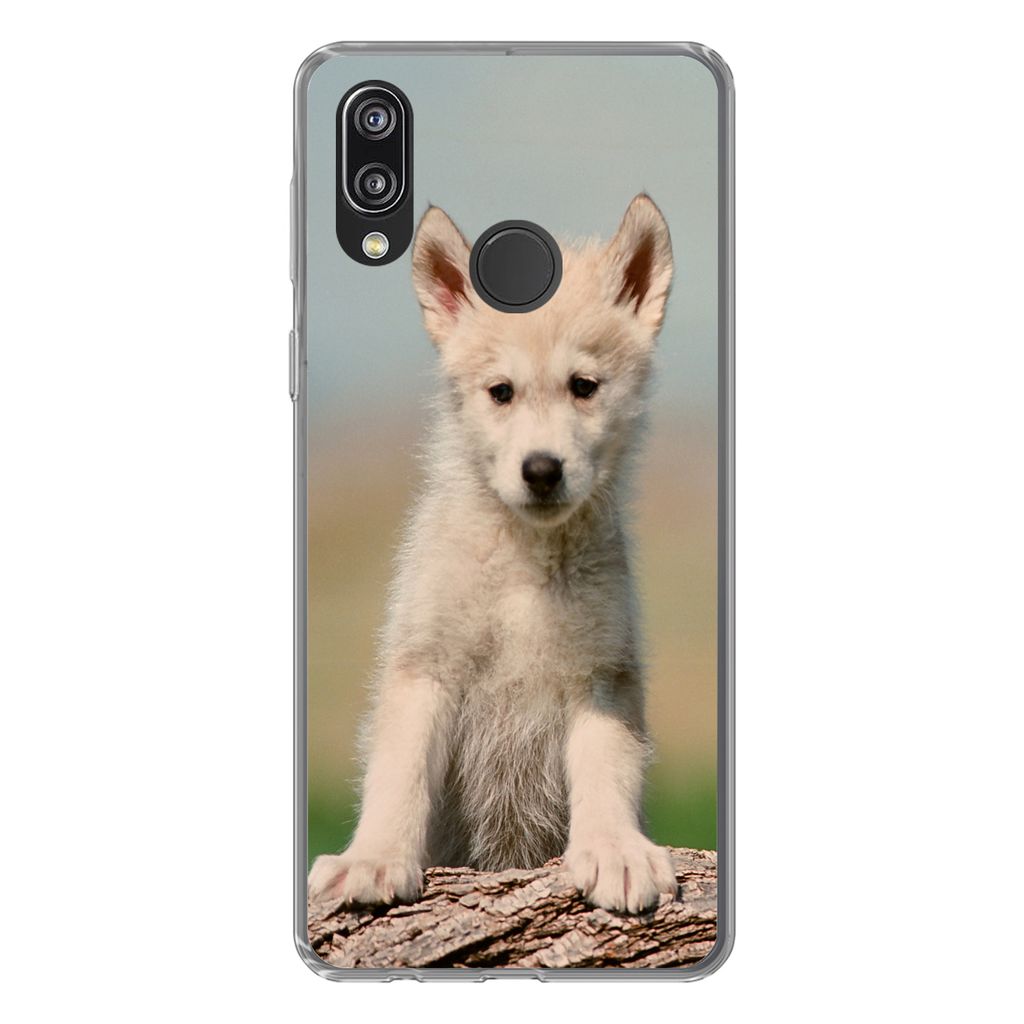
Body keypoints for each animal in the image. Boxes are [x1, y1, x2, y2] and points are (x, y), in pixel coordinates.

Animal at [308, 194, 678, 913]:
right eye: (500, 391)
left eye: (584, 386)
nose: (542, 470)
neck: (523, 566)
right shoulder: (424, 666)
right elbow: (398, 775)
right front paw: (373, 859)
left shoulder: (603, 676)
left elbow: (608, 769)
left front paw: (614, 850)